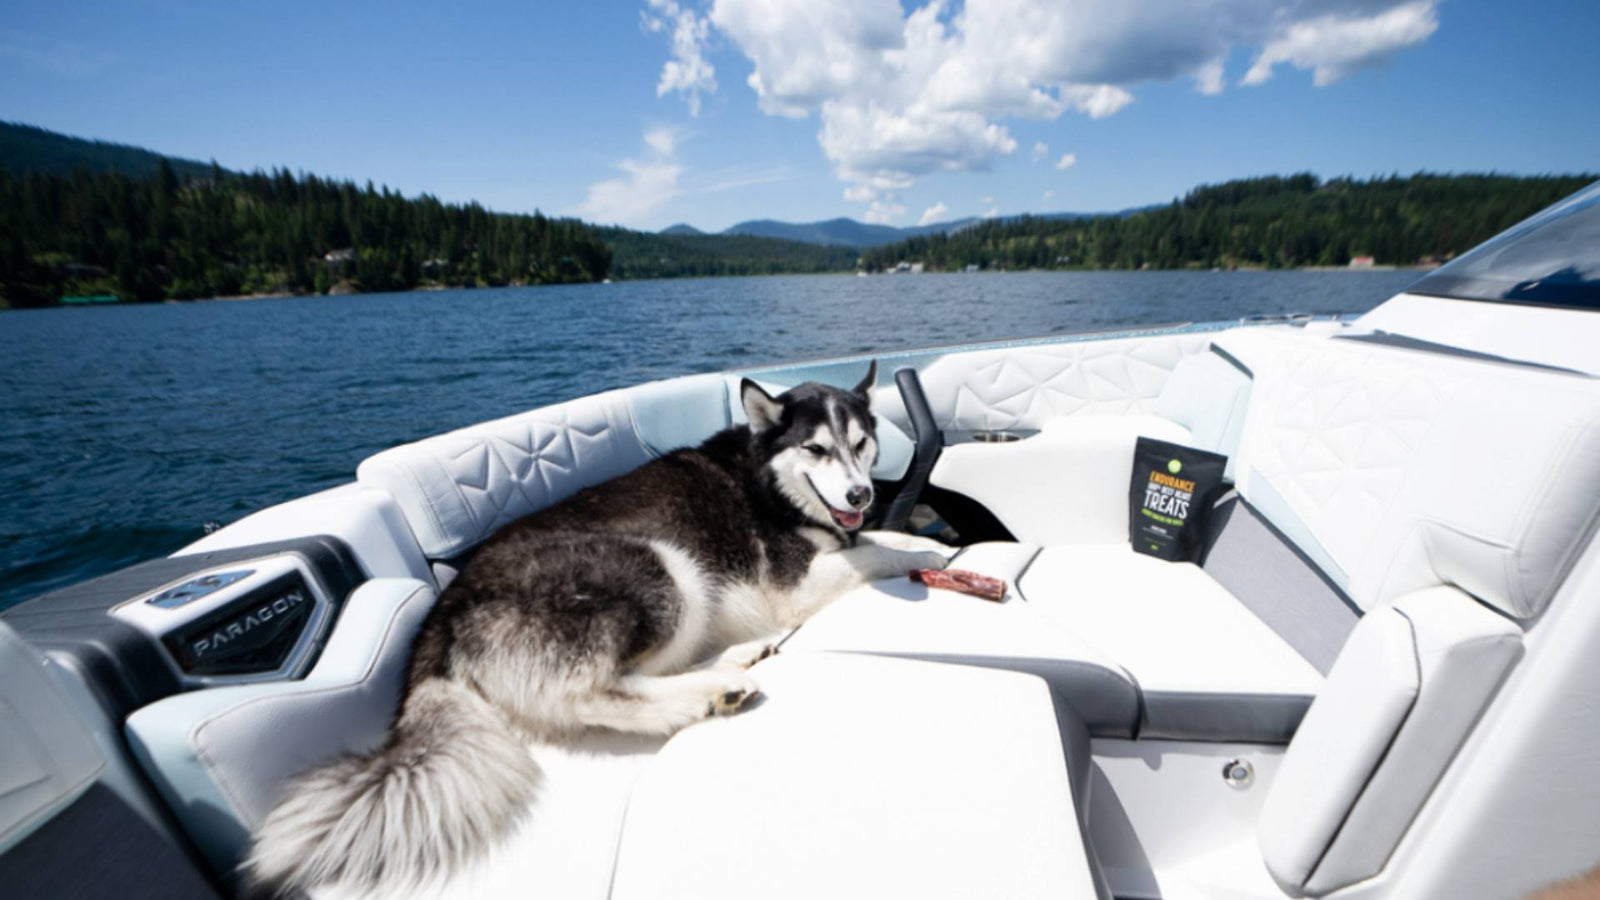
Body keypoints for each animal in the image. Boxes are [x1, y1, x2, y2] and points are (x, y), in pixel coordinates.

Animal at [243, 360, 947, 890]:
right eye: (815, 448)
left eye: (861, 444)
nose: (859, 495)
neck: (769, 484)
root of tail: (443, 613)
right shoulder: (793, 584)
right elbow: (878, 552)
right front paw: (934, 555)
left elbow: (876, 540)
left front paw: (920, 536)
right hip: (661, 566)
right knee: (592, 693)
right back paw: (710, 690)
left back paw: (731, 660)